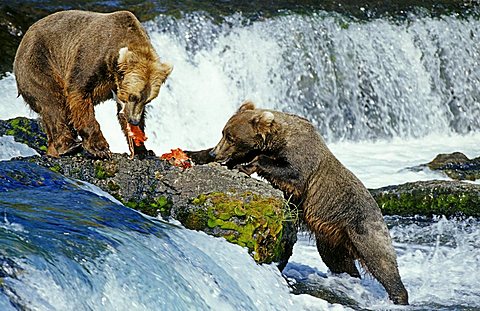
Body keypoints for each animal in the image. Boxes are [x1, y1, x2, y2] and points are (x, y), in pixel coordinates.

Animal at [13, 9, 172, 158]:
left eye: (148, 100)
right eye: (133, 96)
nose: (134, 120)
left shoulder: (117, 85)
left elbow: (122, 114)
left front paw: (142, 148)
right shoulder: (92, 57)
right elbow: (79, 94)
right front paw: (100, 148)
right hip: (39, 63)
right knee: (52, 103)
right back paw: (68, 145)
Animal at [195, 101, 408, 306]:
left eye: (231, 137)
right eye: (224, 132)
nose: (215, 153)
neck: (276, 141)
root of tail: (379, 212)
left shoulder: (301, 158)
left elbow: (291, 173)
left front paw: (246, 166)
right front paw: (201, 155)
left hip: (364, 228)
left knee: (381, 262)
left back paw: (399, 296)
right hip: (332, 238)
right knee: (338, 261)